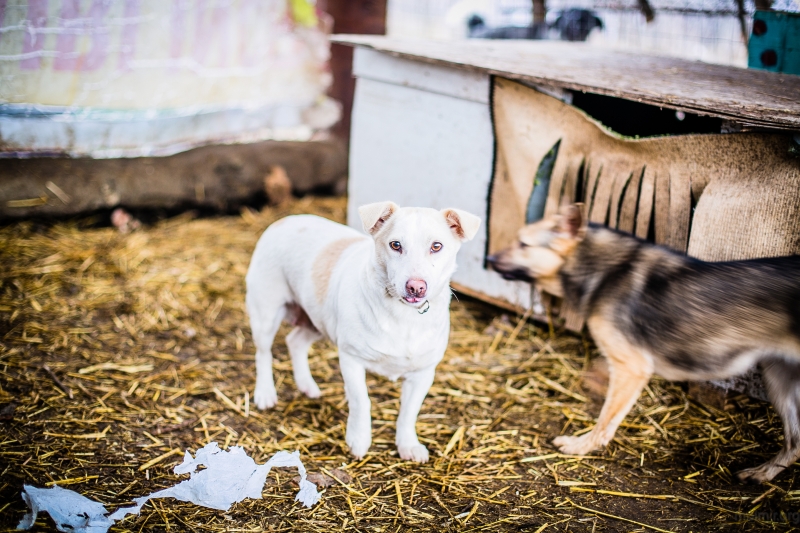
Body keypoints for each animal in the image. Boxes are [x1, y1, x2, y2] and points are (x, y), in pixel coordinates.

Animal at [247, 202, 478, 460]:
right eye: (395, 245)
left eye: (436, 246)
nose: (416, 287)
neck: (403, 316)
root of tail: (285, 220)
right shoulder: (351, 359)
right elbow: (361, 401)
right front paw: (359, 440)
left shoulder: (423, 373)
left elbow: (409, 412)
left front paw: (407, 444)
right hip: (266, 314)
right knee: (263, 354)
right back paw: (265, 393)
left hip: (317, 320)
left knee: (295, 342)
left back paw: (307, 385)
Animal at [488, 203, 800, 482]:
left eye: (523, 243)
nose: (489, 259)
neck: (603, 270)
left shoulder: (631, 368)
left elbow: (605, 419)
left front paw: (581, 447)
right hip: (778, 379)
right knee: (794, 443)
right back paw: (761, 473)